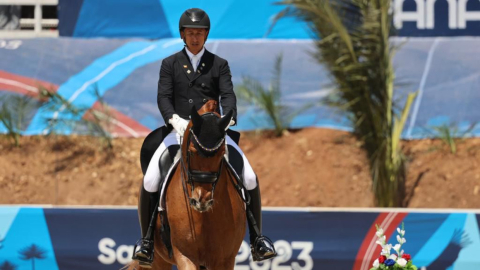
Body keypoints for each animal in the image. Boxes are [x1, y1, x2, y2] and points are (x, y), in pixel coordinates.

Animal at [126, 100, 246, 268]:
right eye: (192, 151)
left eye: (222, 153)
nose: (201, 200)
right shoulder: (185, 256)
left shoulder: (225, 260)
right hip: (158, 259)